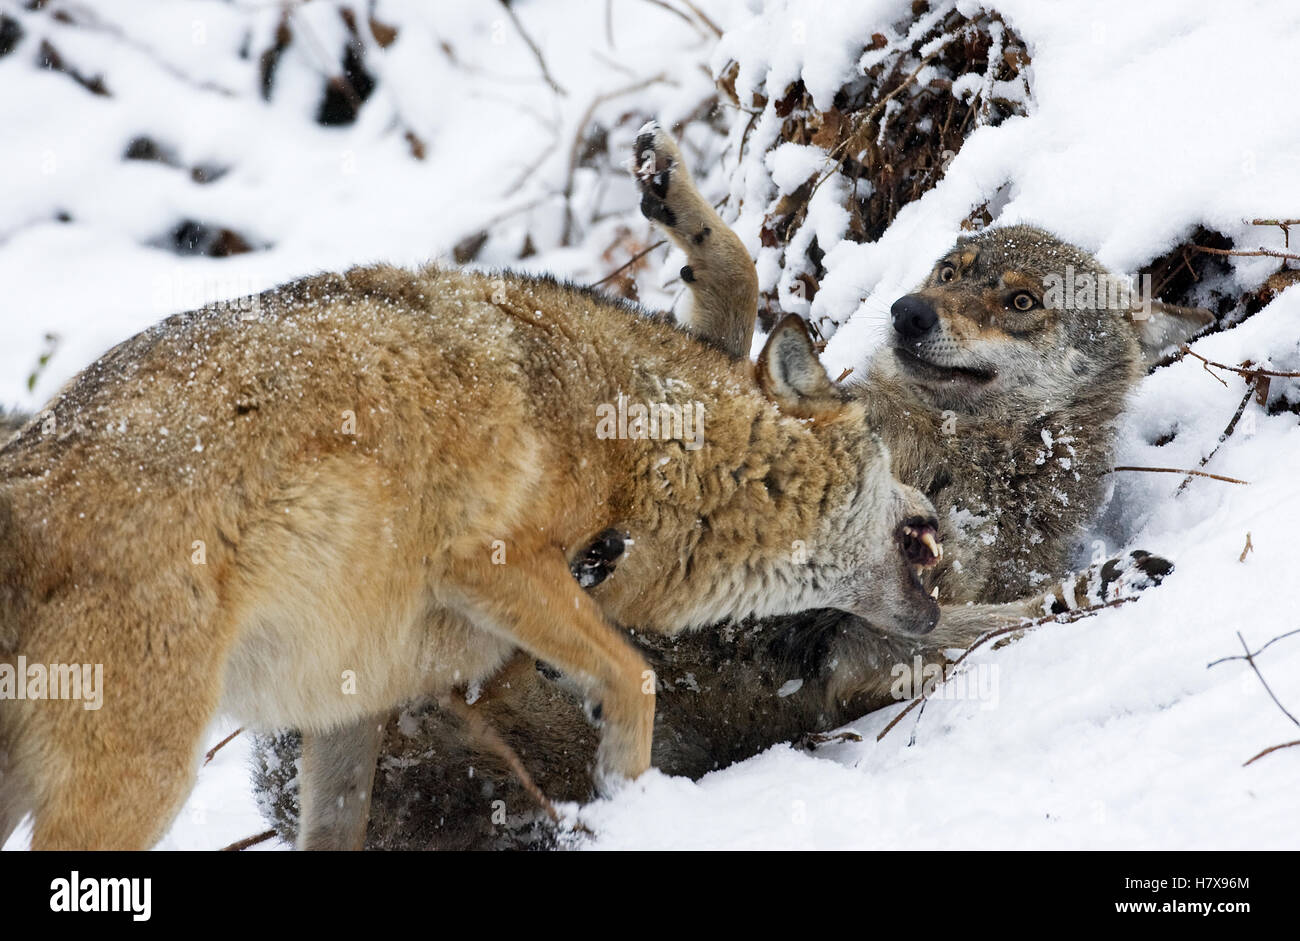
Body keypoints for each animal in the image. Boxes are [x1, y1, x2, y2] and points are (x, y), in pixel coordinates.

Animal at [0, 247, 948, 849]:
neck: (633, 437)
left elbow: (336, 826)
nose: (938, 513)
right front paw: (630, 802)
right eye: (888, 445)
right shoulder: (496, 565)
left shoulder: (354, 705)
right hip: (140, 781)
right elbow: (636, 677)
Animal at [252, 125, 1204, 849]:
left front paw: (1098, 584)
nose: (908, 312)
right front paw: (683, 211)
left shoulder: (863, 642)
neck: (945, 451)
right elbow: (737, 297)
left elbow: (1002, 614)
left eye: (1021, 301)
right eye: (948, 270)